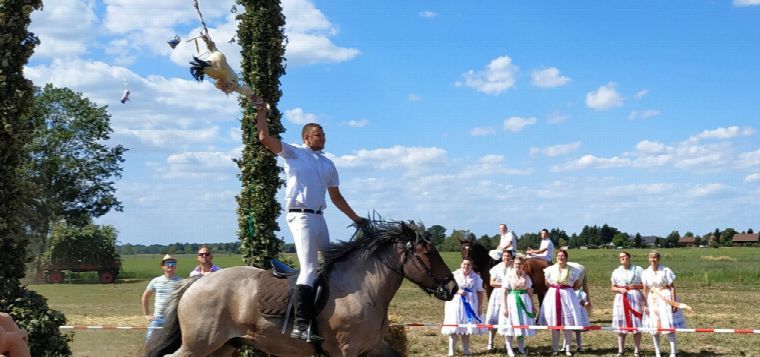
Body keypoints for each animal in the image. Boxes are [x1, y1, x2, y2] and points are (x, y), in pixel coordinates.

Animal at [147, 220, 458, 356]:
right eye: (427, 253)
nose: (453, 287)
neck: (364, 290)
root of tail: (199, 281)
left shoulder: (374, 346)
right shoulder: (347, 351)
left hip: (222, 347)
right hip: (200, 343)